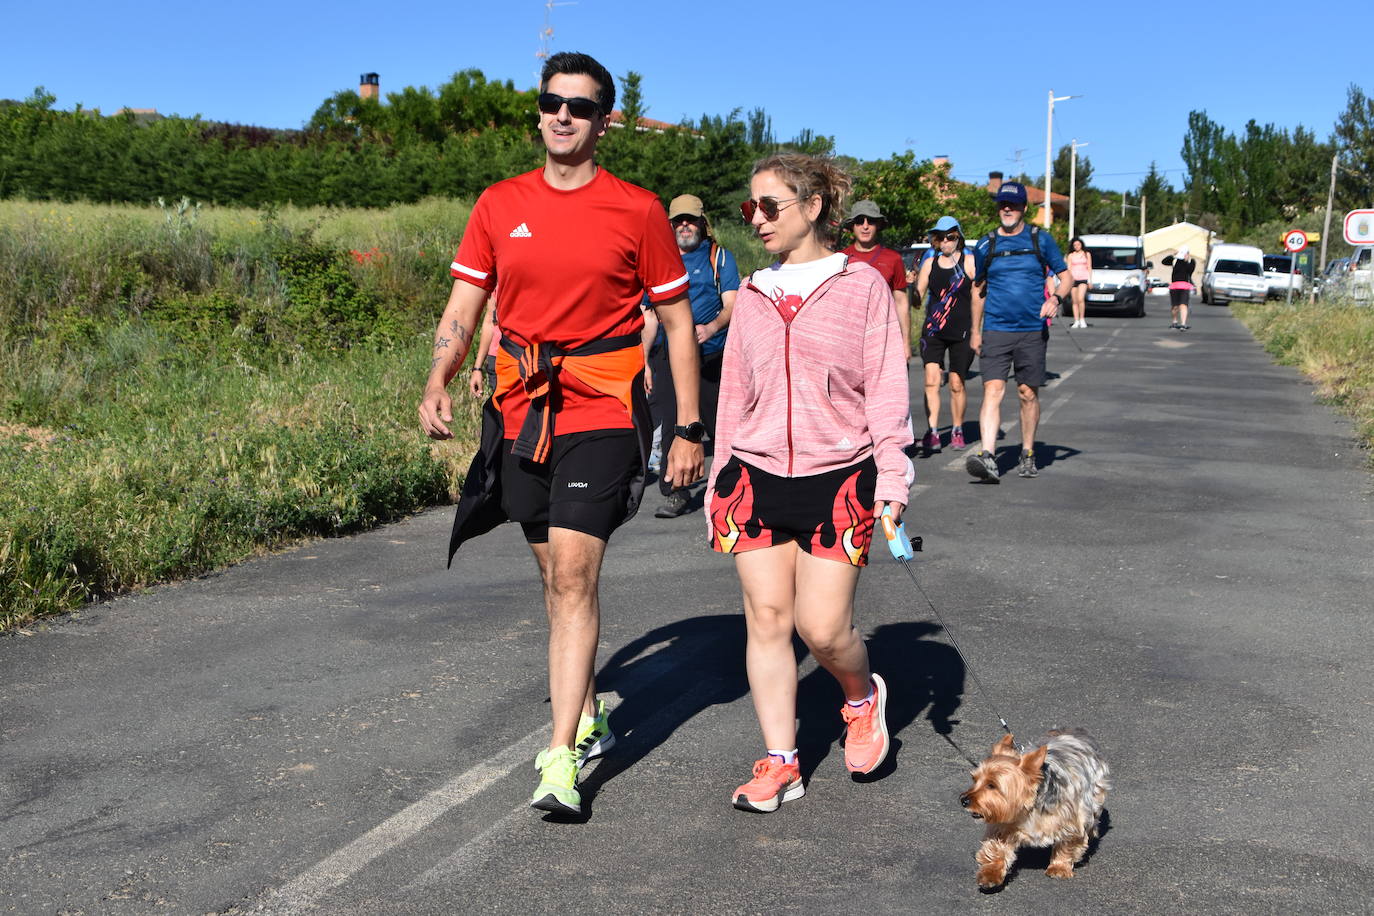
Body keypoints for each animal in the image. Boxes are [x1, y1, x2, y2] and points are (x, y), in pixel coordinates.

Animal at [961, 725, 1110, 889]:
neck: (1029, 811)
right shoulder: (1003, 824)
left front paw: (1059, 867)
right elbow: (996, 847)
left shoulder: (1071, 820)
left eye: (992, 785)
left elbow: (1067, 844)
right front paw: (990, 874)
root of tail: (1074, 730)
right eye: (974, 779)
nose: (963, 800)